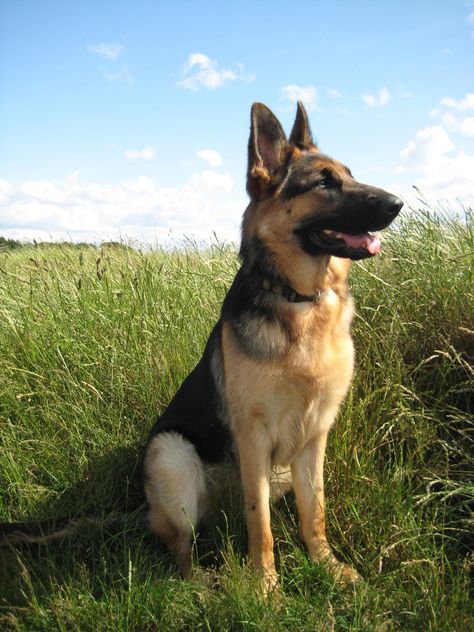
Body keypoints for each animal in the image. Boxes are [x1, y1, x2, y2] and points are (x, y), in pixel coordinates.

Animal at [143, 102, 402, 592]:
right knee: (182, 548)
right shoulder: (254, 437)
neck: (300, 300)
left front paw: (326, 564)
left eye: (350, 174)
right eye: (323, 183)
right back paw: (201, 587)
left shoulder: (315, 436)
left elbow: (314, 511)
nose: (398, 203)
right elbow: (259, 520)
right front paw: (264, 587)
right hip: (173, 456)